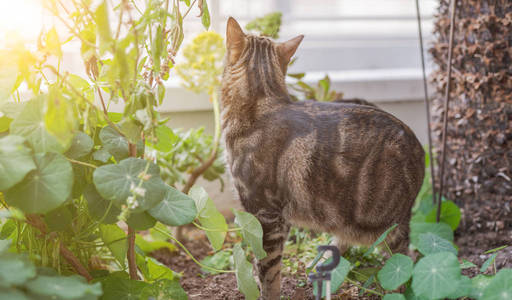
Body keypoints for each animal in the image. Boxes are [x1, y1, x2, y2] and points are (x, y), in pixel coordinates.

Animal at [220, 17, 424, 298]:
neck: (259, 103)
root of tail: (422, 153)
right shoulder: (274, 219)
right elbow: (260, 261)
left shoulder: (266, 214)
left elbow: (269, 268)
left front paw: (266, 290)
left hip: (387, 227)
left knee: (407, 259)